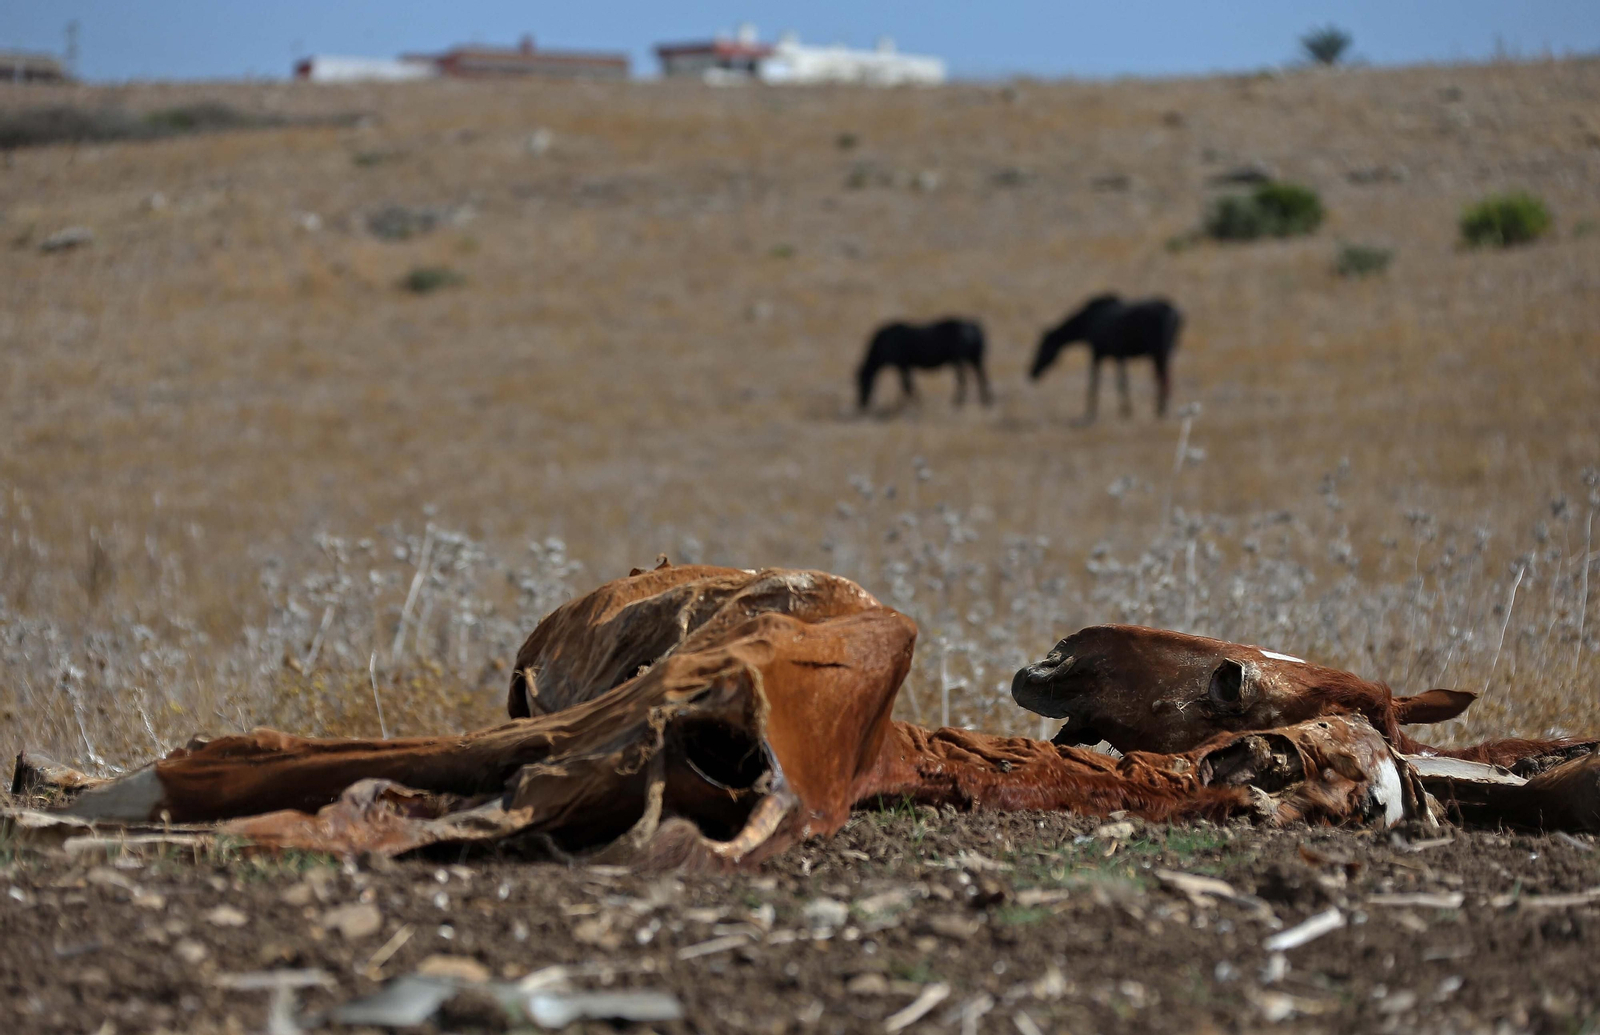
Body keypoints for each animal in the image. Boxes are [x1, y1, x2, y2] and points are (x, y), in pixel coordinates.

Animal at [857, 318, 991, 411]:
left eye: (862, 382)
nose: (861, 403)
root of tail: (974, 328)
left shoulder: (902, 365)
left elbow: (907, 385)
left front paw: (914, 402)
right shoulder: (905, 366)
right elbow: (908, 384)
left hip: (958, 359)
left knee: (963, 379)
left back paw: (958, 401)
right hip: (974, 359)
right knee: (981, 376)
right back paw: (985, 400)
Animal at [1029, 295, 1182, 421]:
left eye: (1042, 348)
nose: (1031, 372)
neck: (1087, 321)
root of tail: (1174, 311)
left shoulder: (1099, 353)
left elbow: (1097, 382)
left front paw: (1095, 411)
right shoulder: (1116, 355)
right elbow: (1119, 381)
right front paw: (1125, 409)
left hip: (1160, 352)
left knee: (1164, 378)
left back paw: (1161, 409)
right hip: (1164, 353)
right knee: (1163, 377)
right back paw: (1161, 407)